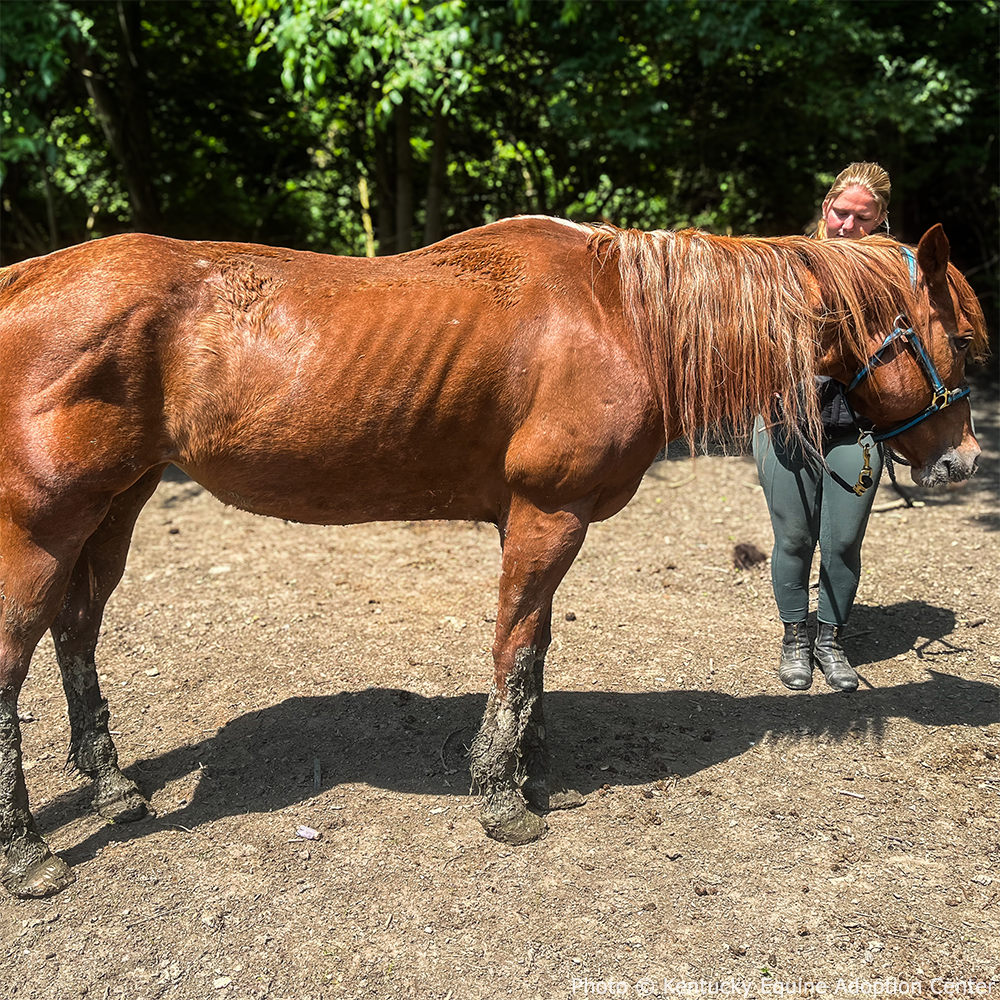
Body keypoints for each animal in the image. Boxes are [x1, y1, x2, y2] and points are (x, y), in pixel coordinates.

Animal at [0, 219, 988, 900]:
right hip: (44, 526)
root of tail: (26, 276)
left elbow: (536, 648)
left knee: (77, 632)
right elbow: (514, 649)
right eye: (964, 342)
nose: (962, 464)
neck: (619, 315)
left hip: (115, 507)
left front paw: (530, 767)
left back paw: (112, 786)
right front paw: (501, 796)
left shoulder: (537, 523)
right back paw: (29, 854)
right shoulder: (549, 517)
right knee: (17, 661)